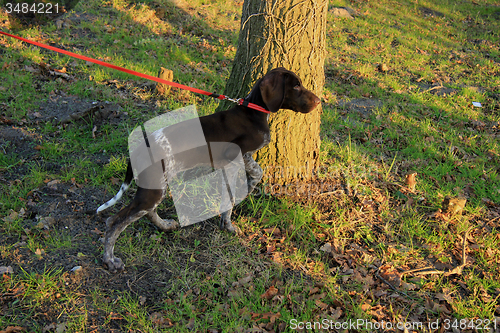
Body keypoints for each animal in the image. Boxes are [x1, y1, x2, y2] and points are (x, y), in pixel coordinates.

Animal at [95, 67, 320, 270]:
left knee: (147, 212)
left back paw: (165, 226)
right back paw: (110, 260)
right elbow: (248, 181)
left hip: (157, 186)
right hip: (154, 190)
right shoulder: (237, 156)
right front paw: (232, 219)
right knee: (114, 222)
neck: (252, 112)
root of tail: (139, 147)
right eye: (296, 86)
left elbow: (236, 189)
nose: (319, 101)